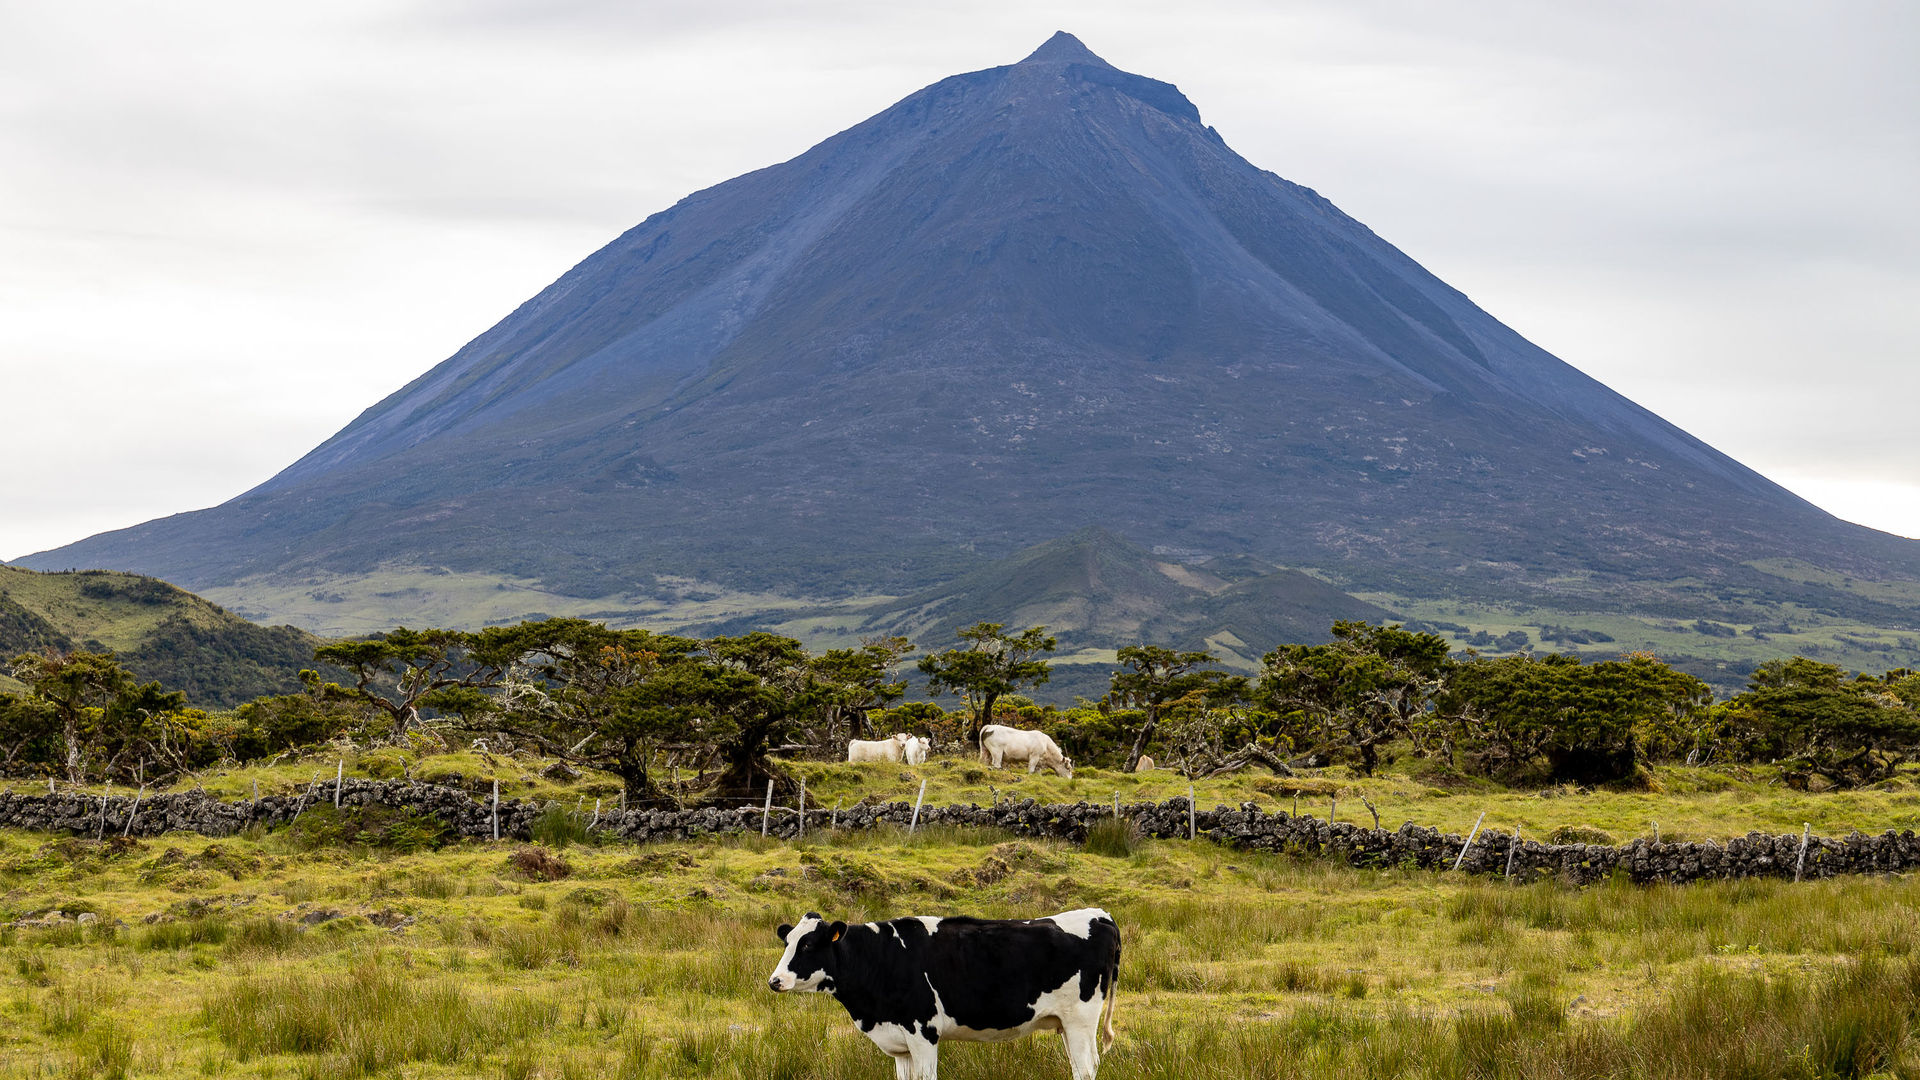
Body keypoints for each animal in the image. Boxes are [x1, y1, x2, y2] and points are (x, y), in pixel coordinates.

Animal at [768, 903, 1121, 1068]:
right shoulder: (899, 1044)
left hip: (1081, 1021)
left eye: (808, 945)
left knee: (1086, 1068)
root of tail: (1100, 914)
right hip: (1066, 1025)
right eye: (787, 941)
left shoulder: (923, 1032)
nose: (775, 981)